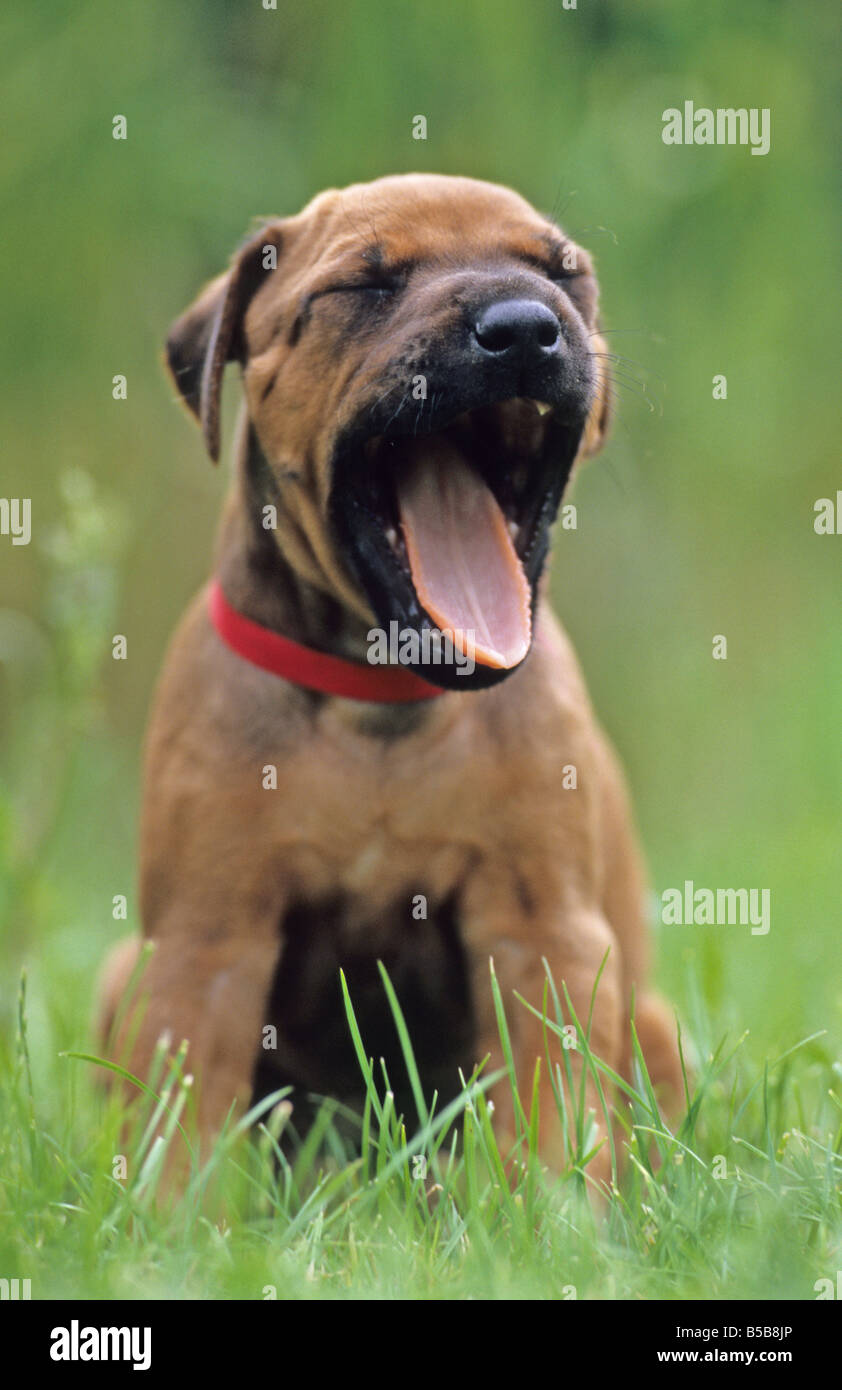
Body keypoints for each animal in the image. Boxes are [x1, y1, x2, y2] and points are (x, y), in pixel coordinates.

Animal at [97, 173, 686, 1189]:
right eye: (365, 286)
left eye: (562, 273)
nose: (524, 329)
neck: (381, 698)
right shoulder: (203, 945)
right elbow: (183, 1133)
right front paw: (169, 1220)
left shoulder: (543, 935)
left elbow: (552, 1113)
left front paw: (552, 1212)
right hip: (115, 976)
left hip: (656, 1025)